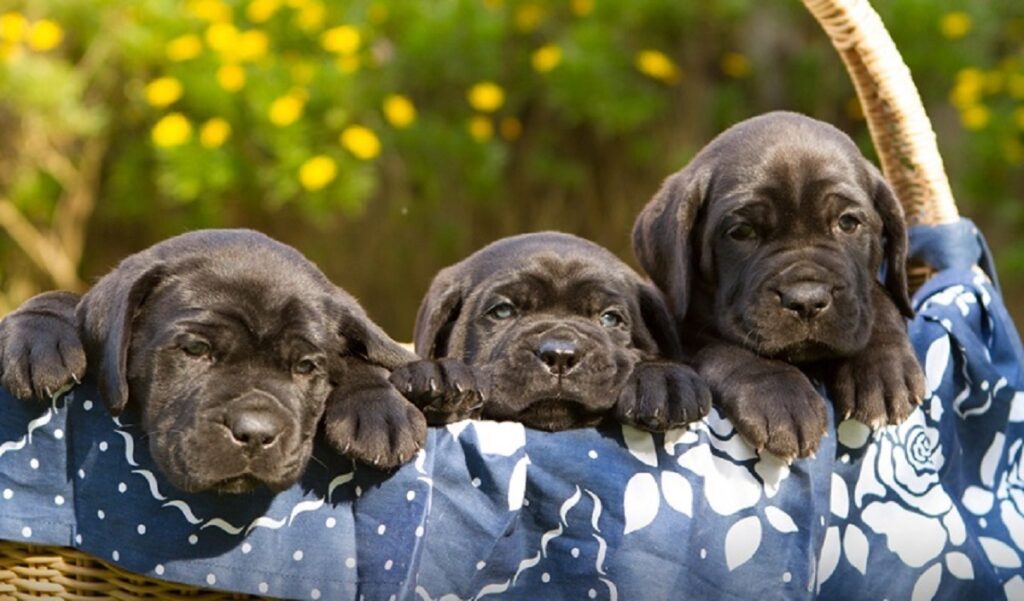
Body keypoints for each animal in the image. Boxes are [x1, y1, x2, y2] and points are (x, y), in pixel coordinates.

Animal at [0, 230, 423, 493]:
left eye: (305, 367)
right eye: (196, 349)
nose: (255, 433)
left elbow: (359, 360)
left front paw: (376, 409)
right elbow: (64, 300)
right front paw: (38, 334)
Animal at [630, 111, 929, 460]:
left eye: (847, 222)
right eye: (742, 231)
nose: (807, 301)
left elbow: (877, 302)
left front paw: (882, 367)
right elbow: (730, 351)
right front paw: (780, 398)